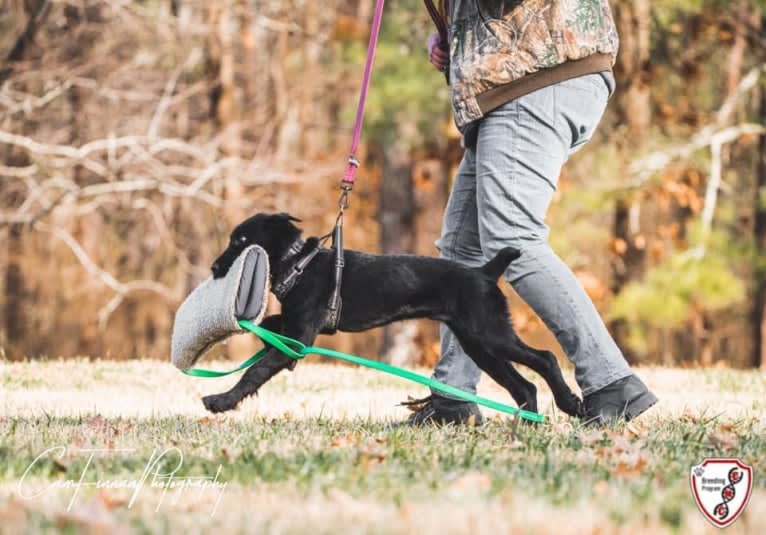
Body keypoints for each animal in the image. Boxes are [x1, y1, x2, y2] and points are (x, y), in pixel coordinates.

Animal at [201, 214, 584, 418]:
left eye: (241, 240)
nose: (215, 268)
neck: (300, 265)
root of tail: (485, 273)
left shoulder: (300, 336)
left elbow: (255, 372)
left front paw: (221, 400)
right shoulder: (297, 328)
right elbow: (269, 328)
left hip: (490, 333)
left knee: (545, 359)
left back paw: (570, 404)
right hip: (479, 344)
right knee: (523, 384)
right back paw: (527, 426)